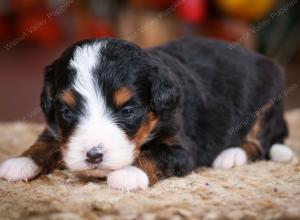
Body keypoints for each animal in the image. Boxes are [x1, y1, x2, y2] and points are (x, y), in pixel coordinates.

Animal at [0, 37, 292, 190]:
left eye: (128, 111)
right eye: (66, 111)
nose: (94, 156)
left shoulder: (181, 148)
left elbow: (154, 155)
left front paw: (127, 174)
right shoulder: (56, 127)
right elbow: (46, 141)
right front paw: (22, 161)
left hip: (267, 100)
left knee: (259, 143)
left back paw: (230, 156)